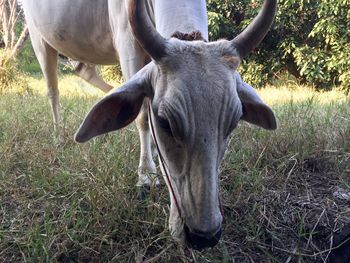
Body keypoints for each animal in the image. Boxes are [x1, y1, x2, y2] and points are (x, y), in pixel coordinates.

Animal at [23, 0, 278, 250]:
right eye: (165, 122)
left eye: (233, 124)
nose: (204, 237)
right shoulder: (128, 46)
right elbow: (143, 116)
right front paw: (146, 174)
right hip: (39, 40)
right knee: (53, 90)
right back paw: (59, 136)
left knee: (84, 71)